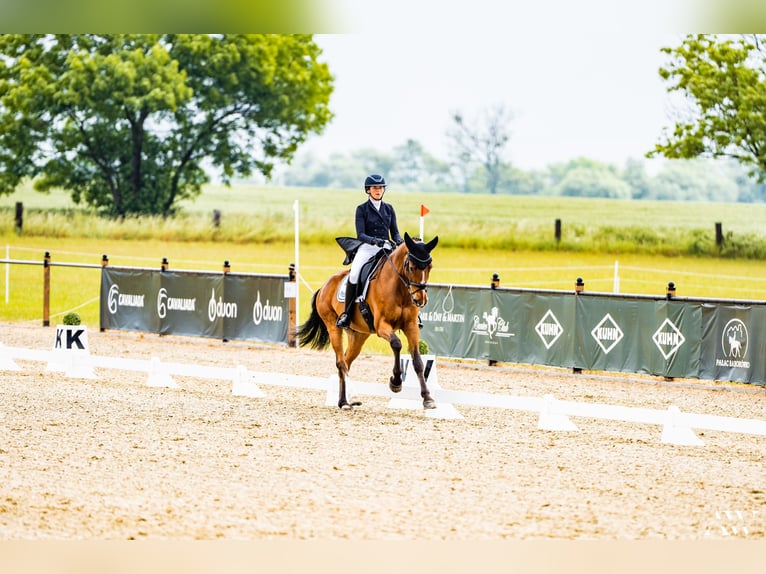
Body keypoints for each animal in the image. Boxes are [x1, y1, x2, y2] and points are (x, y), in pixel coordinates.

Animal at [296, 232, 438, 412]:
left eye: (430, 267)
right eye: (412, 267)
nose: (421, 300)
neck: (399, 289)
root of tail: (324, 286)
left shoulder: (411, 326)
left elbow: (418, 361)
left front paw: (427, 398)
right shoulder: (381, 326)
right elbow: (397, 344)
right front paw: (395, 382)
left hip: (358, 335)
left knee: (347, 362)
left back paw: (345, 400)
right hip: (333, 327)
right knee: (341, 363)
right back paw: (345, 402)